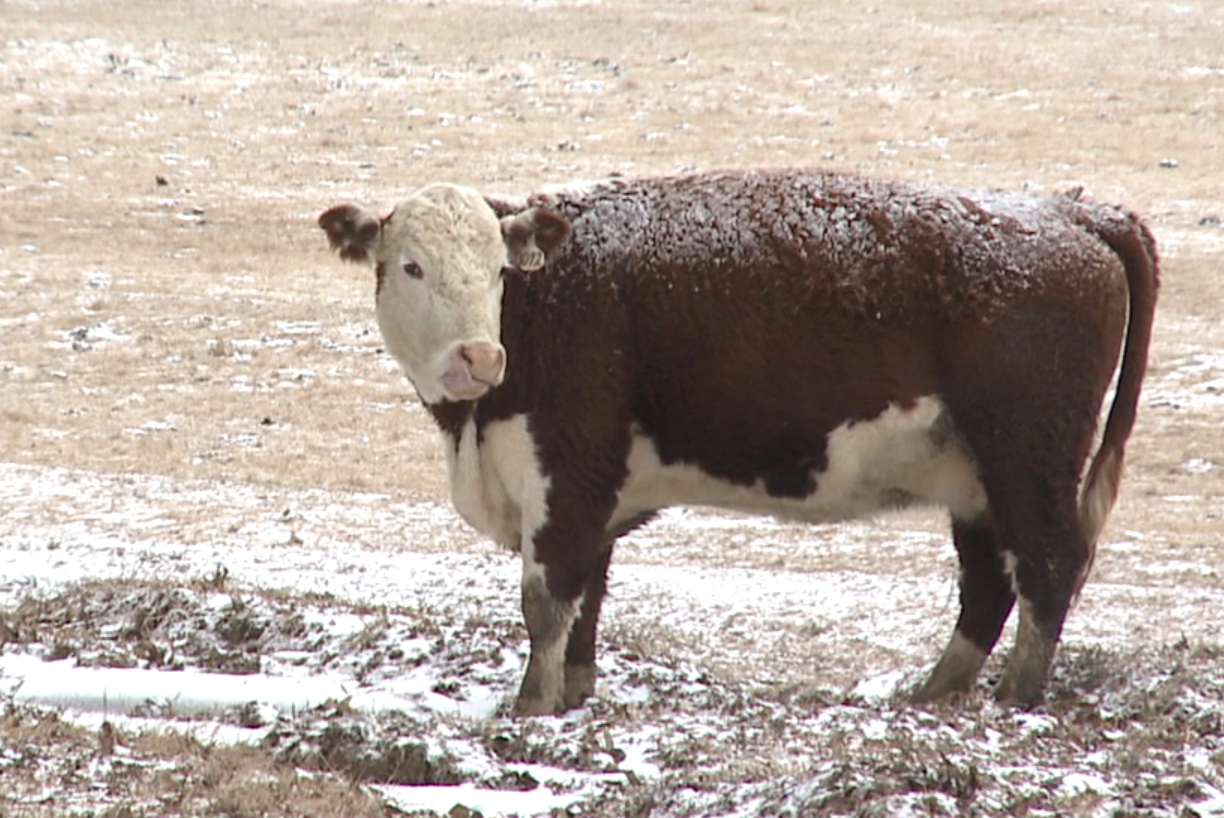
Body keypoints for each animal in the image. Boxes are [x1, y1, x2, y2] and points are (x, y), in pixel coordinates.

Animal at [319, 169, 1158, 716]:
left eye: (498, 270)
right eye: (411, 266)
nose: (478, 358)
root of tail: (1071, 214)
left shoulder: (566, 474)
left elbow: (547, 600)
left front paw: (530, 707)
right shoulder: (595, 491)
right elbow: (588, 596)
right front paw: (575, 695)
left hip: (1029, 461)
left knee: (1047, 568)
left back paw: (1017, 698)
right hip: (976, 476)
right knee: (988, 584)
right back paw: (935, 693)